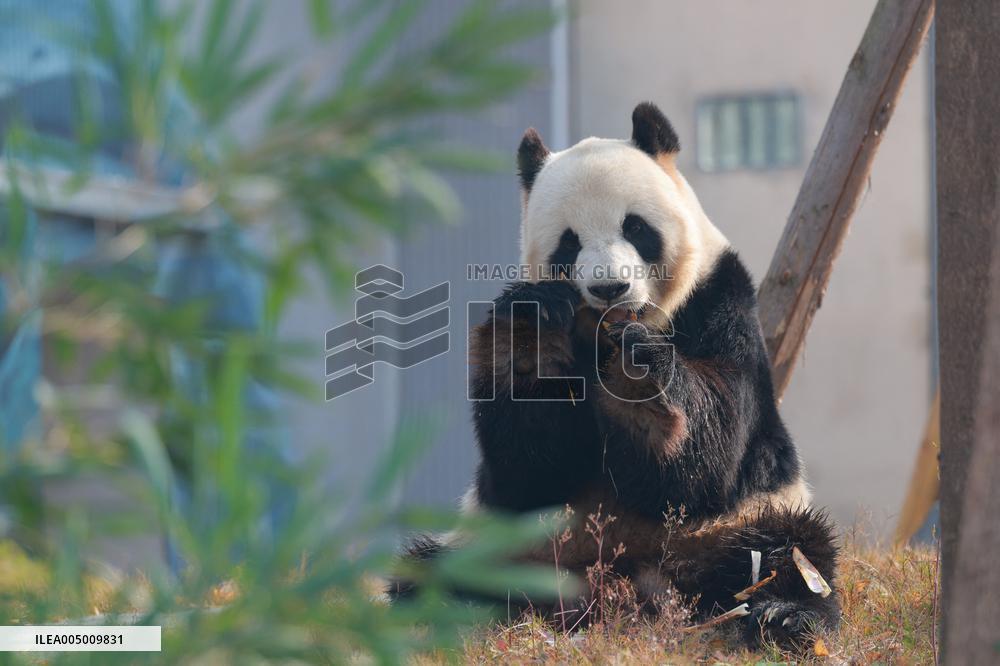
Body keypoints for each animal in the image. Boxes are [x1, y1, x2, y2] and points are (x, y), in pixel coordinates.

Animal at [396, 102, 839, 648]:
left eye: (636, 227)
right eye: (568, 244)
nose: (610, 287)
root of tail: (618, 587)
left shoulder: (720, 300)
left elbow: (713, 452)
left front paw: (641, 388)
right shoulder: (518, 490)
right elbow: (528, 469)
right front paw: (533, 337)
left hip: (734, 525)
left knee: (787, 553)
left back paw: (783, 615)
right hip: (503, 544)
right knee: (432, 573)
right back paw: (444, 613)